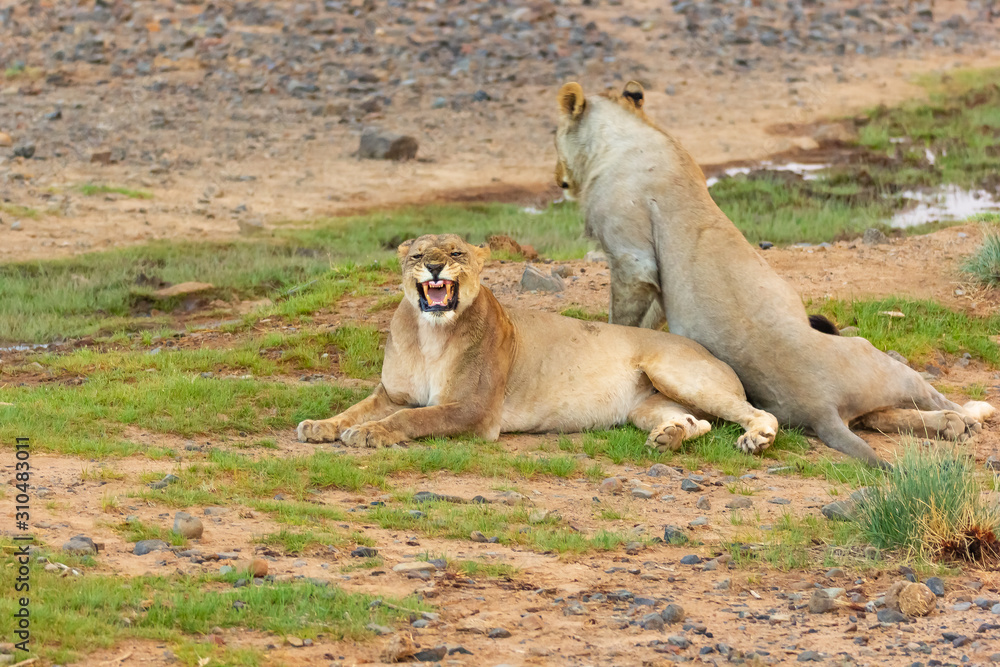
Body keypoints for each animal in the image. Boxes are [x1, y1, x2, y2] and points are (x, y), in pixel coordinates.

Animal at [297, 234, 779, 455]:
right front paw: (321, 425)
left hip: (675, 372)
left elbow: (412, 418)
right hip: (646, 406)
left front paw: (369, 433)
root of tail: (707, 350)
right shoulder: (392, 393)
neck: (430, 332)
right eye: (417, 256)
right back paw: (669, 436)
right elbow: (355, 409)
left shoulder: (474, 411)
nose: (433, 266)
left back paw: (756, 438)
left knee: (754, 411)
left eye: (455, 254)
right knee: (698, 422)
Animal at [553, 80, 995, 466]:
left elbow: (627, 320)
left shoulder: (632, 259)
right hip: (872, 357)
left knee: (920, 404)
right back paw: (961, 421)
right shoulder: (638, 263)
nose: (557, 180)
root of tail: (822, 408)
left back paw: (967, 416)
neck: (628, 134)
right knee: (896, 411)